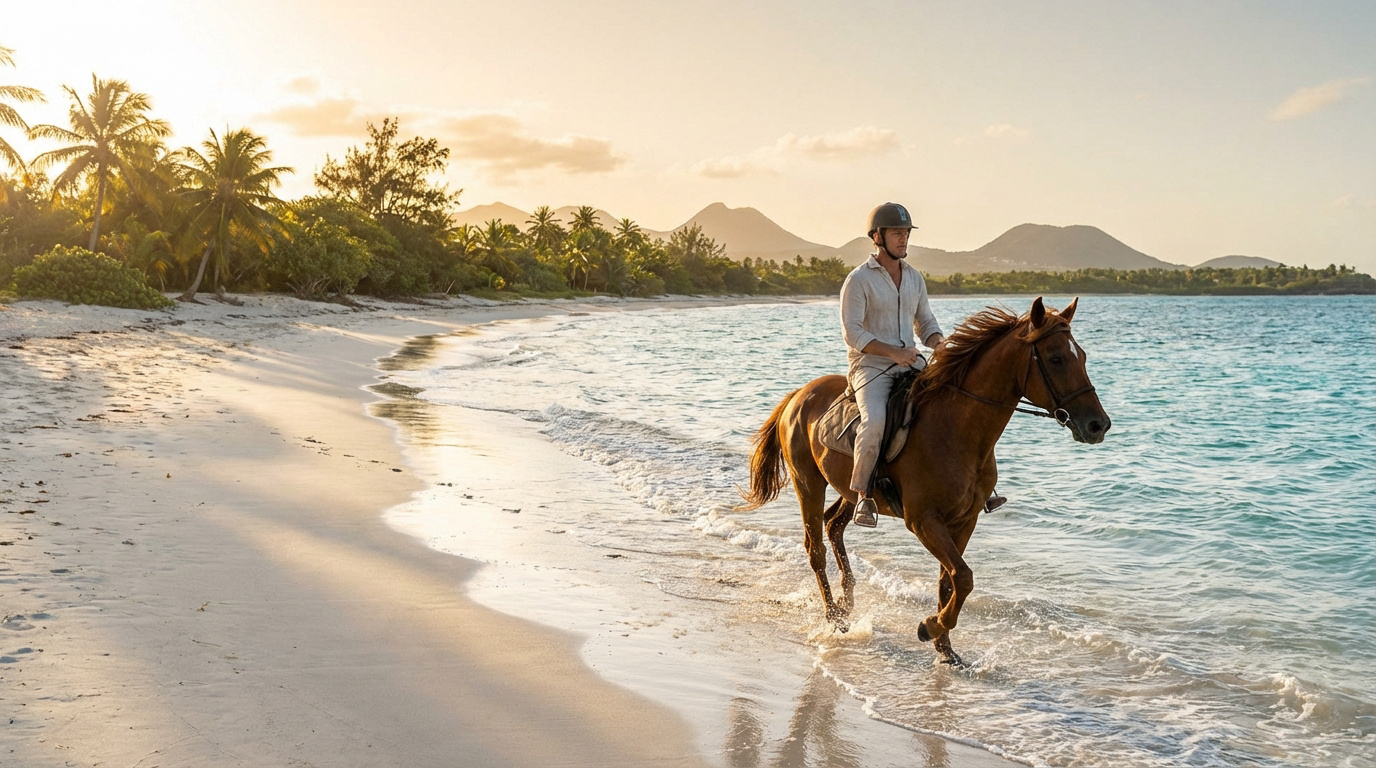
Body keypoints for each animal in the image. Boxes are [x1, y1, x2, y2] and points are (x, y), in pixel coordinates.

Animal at [740, 297, 1110, 665]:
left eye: (1083, 356)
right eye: (1056, 359)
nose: (1099, 425)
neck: (956, 429)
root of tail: (799, 394)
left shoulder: (964, 520)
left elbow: (950, 581)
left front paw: (945, 649)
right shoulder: (923, 521)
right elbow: (964, 577)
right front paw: (930, 627)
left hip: (852, 488)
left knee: (834, 526)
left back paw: (846, 604)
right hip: (808, 483)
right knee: (815, 547)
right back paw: (834, 617)